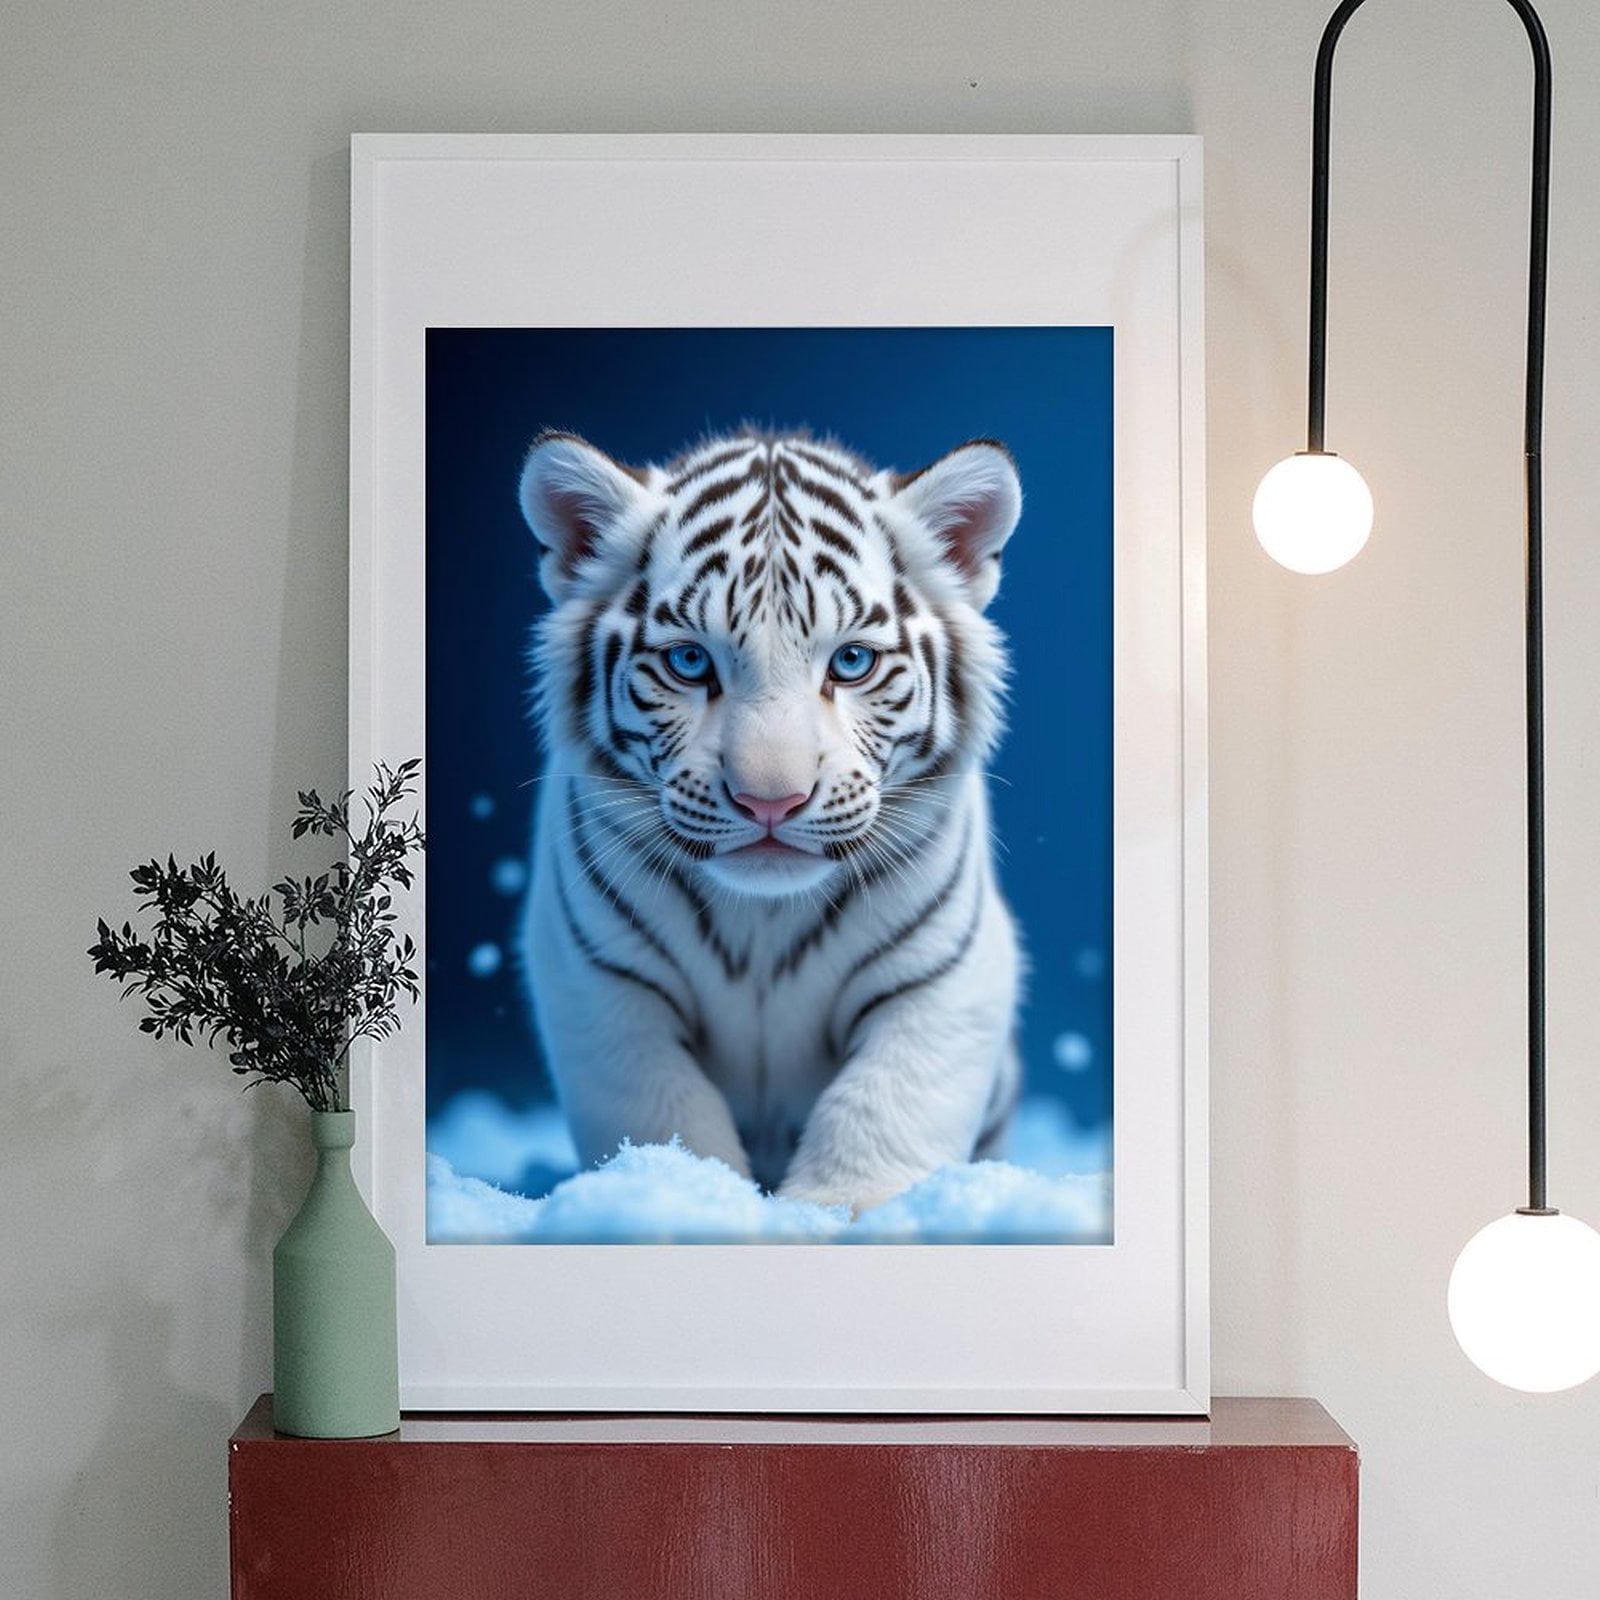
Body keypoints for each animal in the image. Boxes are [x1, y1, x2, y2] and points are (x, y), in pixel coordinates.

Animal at [517, 427, 1024, 1214]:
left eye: (851, 661)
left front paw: (848, 1204)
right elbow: (659, 1105)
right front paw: (681, 1192)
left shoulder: (946, 970)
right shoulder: (598, 975)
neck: (763, 922)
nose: (770, 801)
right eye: (690, 662)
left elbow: (885, 1098)